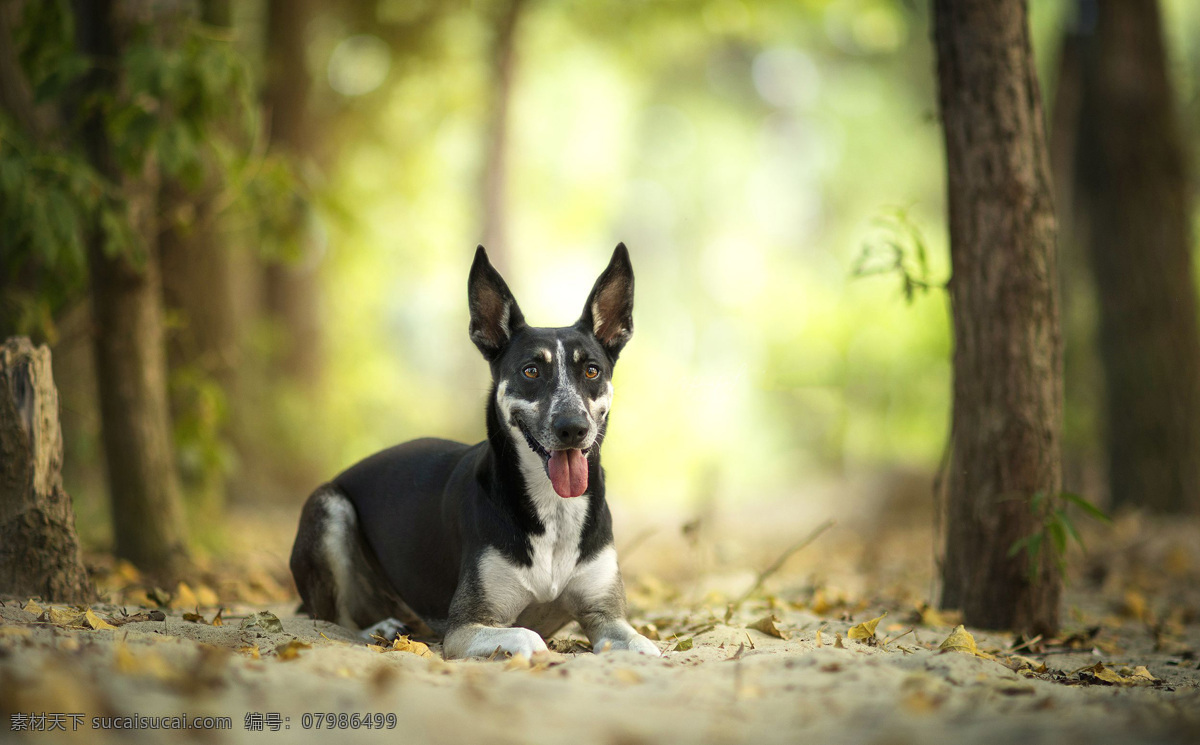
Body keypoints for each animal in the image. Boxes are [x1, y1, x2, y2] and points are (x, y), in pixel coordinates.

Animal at [292, 243, 667, 657]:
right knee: (333, 620)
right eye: (531, 371)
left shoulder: (606, 615)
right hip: (329, 507)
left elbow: (644, 646)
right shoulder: (468, 626)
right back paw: (380, 628)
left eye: (591, 370)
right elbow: (530, 636)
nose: (573, 428)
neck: (554, 509)